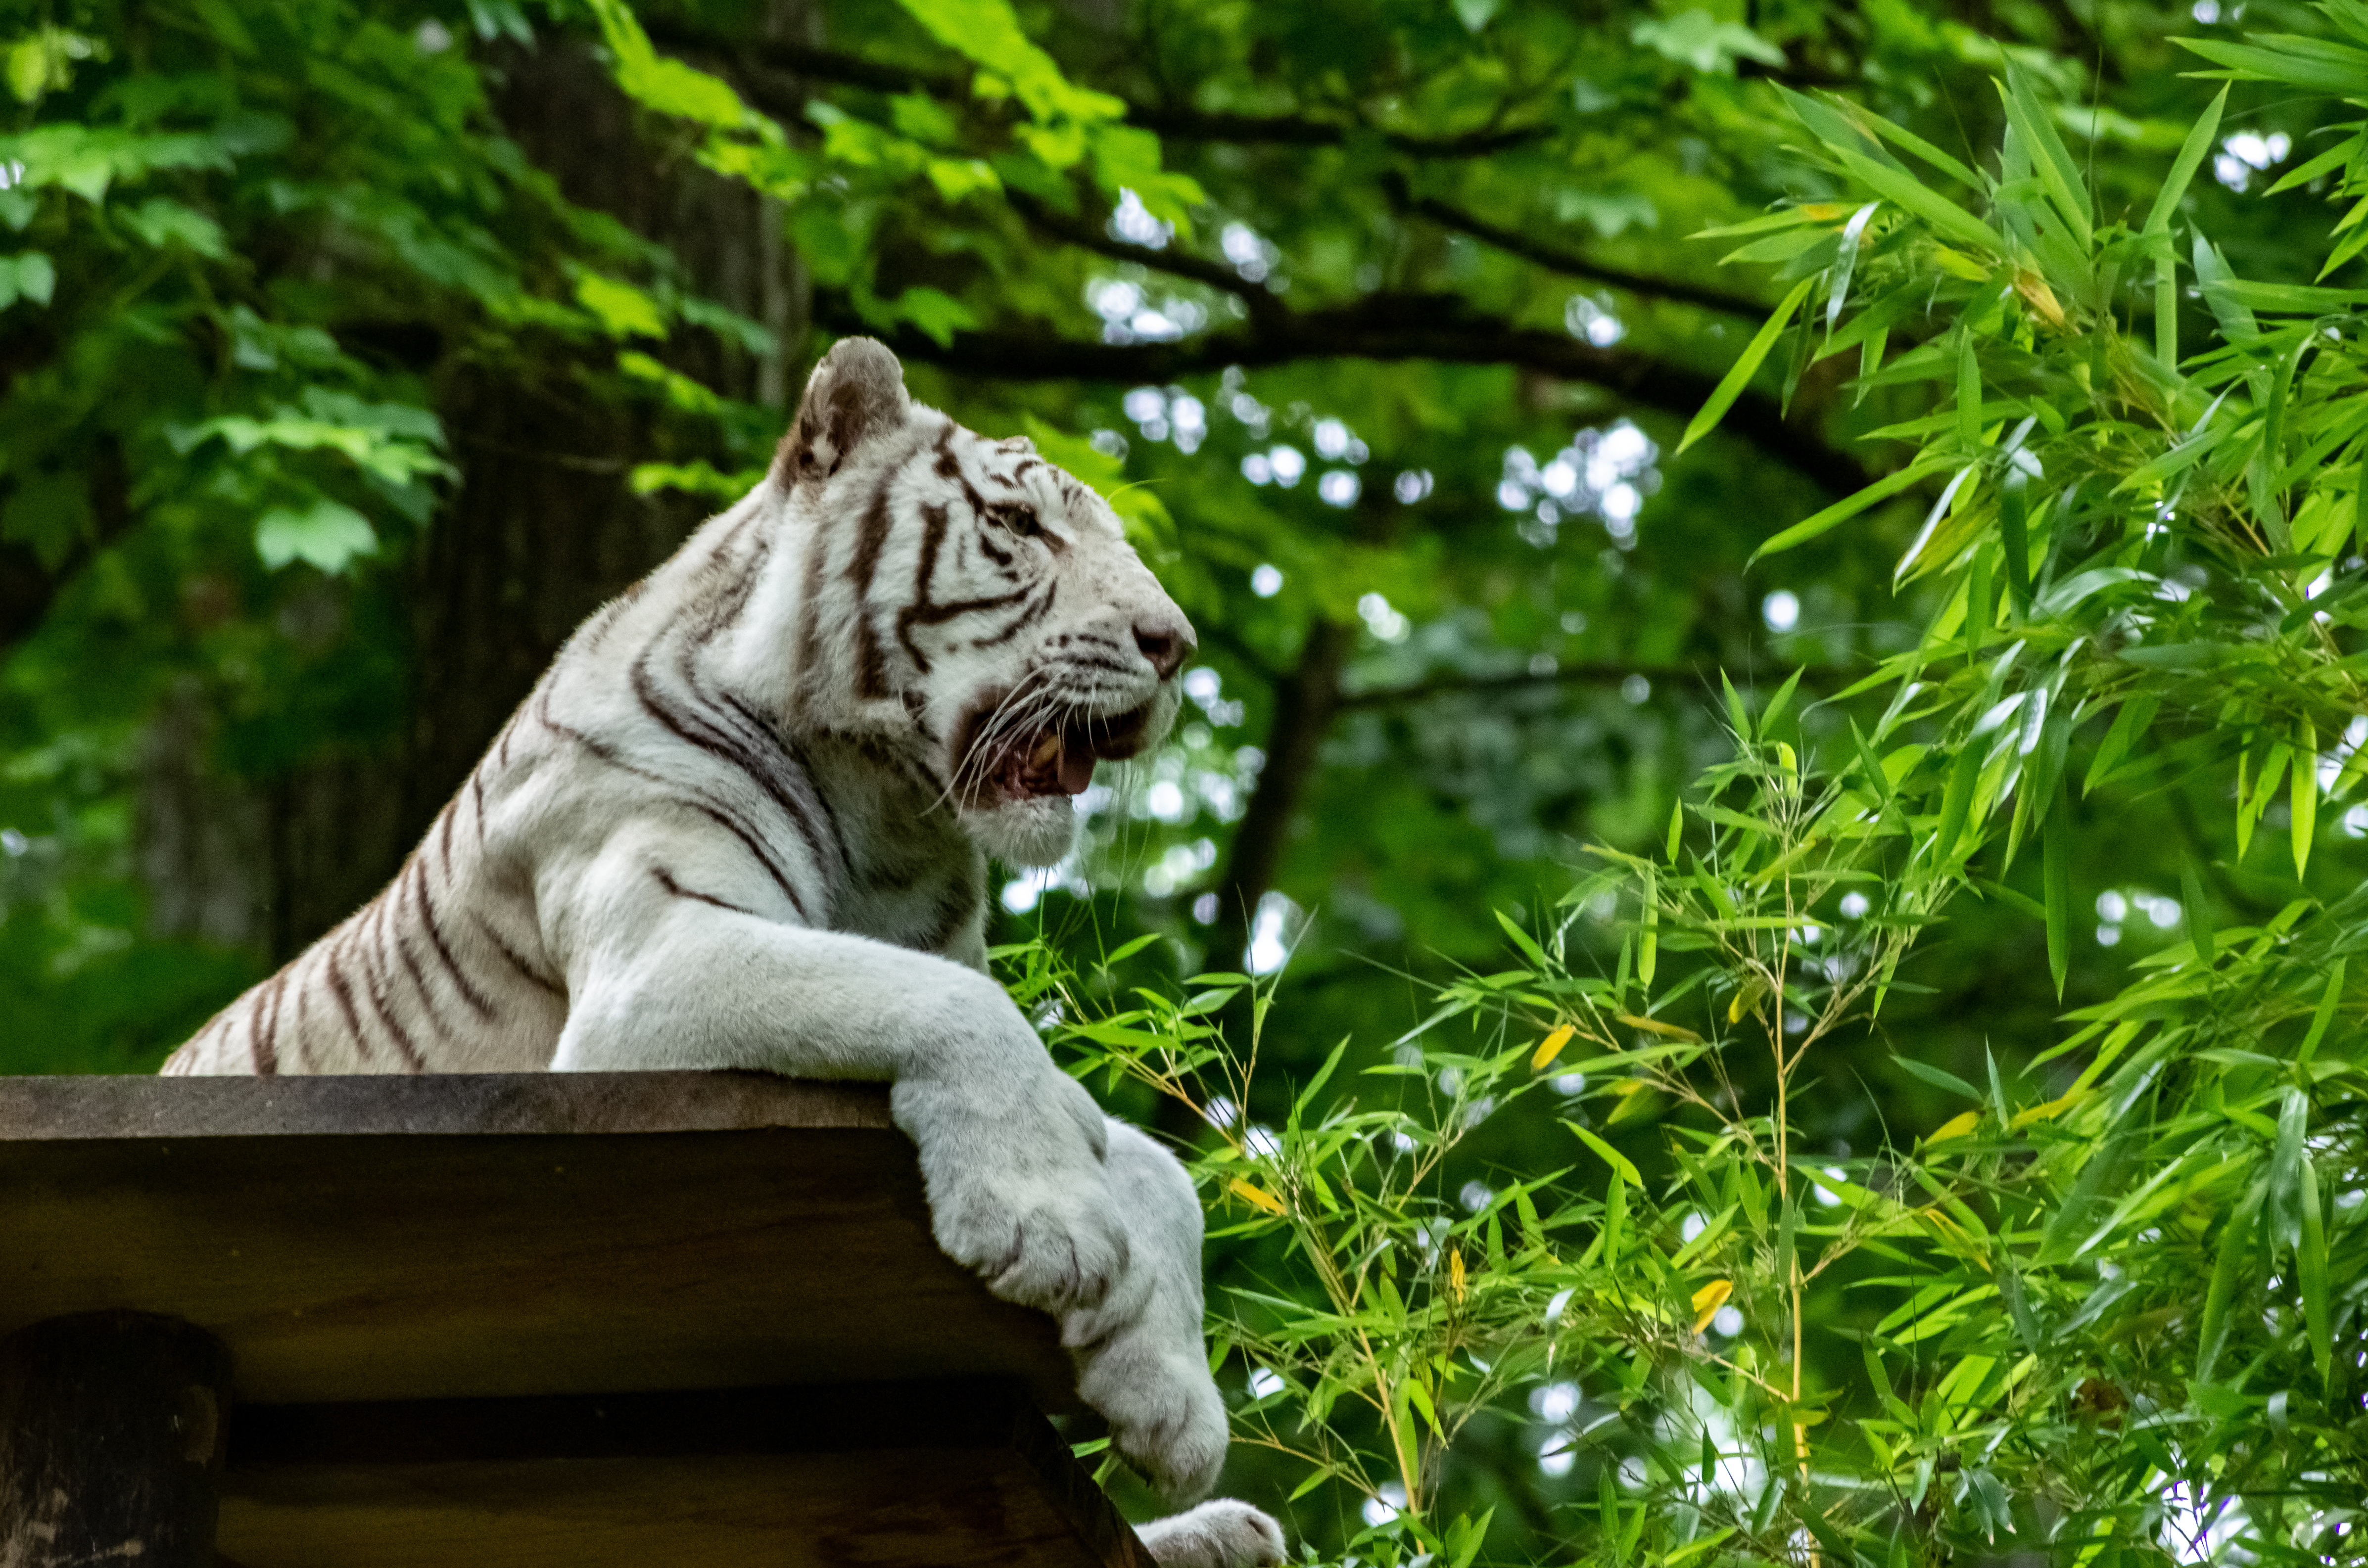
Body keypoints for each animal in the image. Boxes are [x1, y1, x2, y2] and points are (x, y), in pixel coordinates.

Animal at [164, 338, 1288, 1563]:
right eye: (1017, 524)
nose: (1173, 647)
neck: (891, 823)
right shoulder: (654, 956)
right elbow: (965, 1014)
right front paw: (1050, 1229)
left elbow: (1149, 1158)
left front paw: (1169, 1394)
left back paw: (1225, 1533)